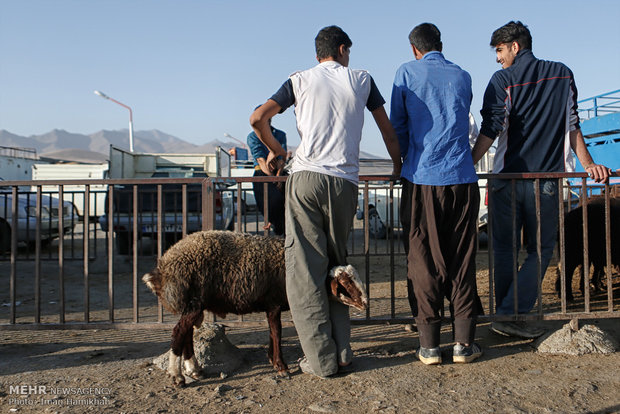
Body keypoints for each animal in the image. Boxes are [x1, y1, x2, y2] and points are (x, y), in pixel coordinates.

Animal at [144, 231, 368, 386]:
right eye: (345, 284)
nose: (365, 303)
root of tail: (162, 269)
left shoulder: (270, 306)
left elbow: (271, 332)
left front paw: (272, 360)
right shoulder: (274, 303)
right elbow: (277, 332)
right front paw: (281, 367)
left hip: (194, 305)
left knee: (187, 333)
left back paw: (194, 369)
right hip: (193, 303)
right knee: (178, 332)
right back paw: (177, 377)